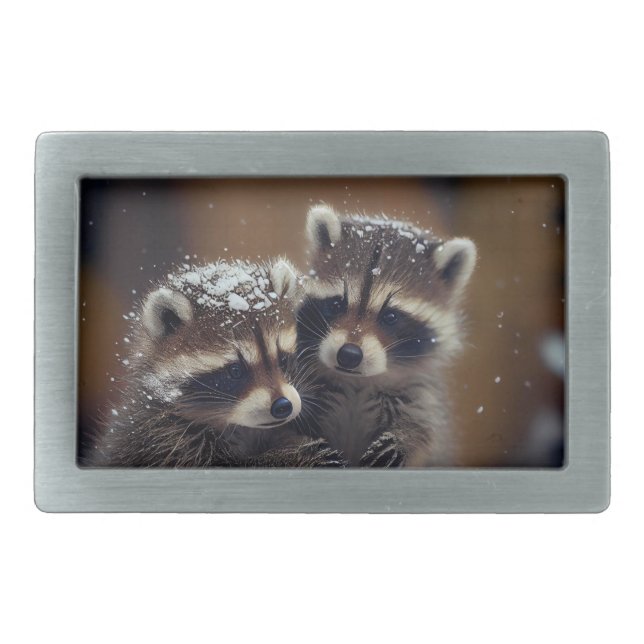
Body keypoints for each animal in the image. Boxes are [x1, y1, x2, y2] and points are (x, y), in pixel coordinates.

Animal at [84, 257, 342, 468]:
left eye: (283, 359)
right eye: (235, 370)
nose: (283, 406)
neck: (239, 427)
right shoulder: (163, 439)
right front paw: (289, 456)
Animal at [297, 204, 477, 467]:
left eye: (390, 316)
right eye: (337, 304)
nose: (348, 355)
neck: (358, 383)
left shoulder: (421, 395)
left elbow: (426, 431)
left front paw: (404, 438)